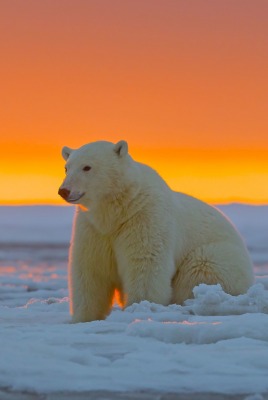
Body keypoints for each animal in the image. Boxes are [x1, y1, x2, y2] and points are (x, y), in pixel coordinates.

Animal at [57, 140, 254, 322]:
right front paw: (83, 317)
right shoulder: (93, 228)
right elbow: (91, 270)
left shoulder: (144, 217)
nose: (64, 191)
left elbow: (145, 265)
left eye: (87, 167)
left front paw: (139, 307)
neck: (117, 210)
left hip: (219, 258)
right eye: (67, 168)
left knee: (200, 269)